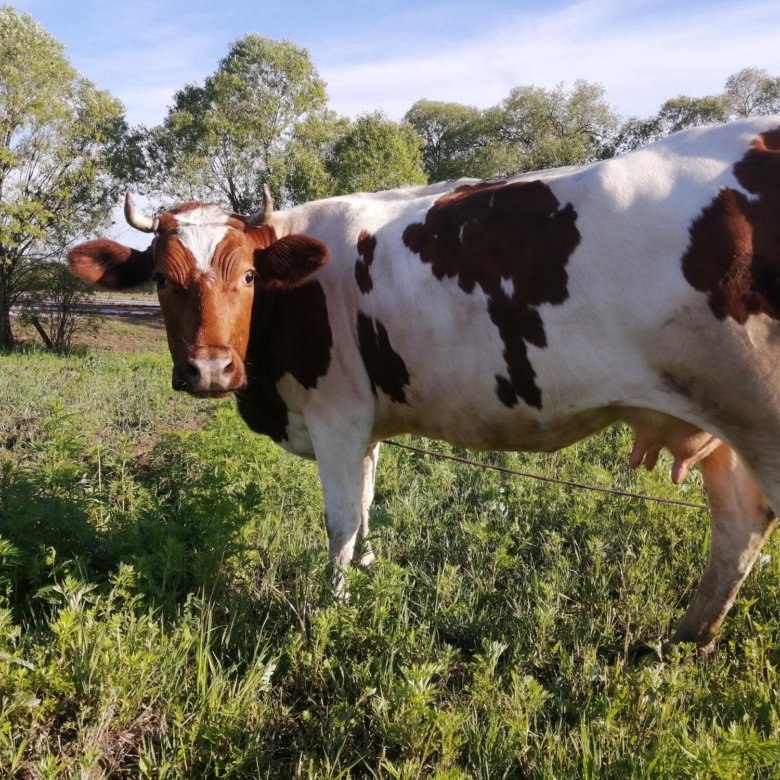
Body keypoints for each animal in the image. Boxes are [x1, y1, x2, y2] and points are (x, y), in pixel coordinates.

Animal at [70, 117, 780, 652]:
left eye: (247, 275)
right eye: (162, 280)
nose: (210, 371)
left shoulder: (336, 418)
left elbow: (340, 520)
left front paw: (333, 607)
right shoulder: (368, 425)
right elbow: (365, 505)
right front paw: (367, 574)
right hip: (724, 423)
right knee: (738, 524)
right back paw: (684, 638)